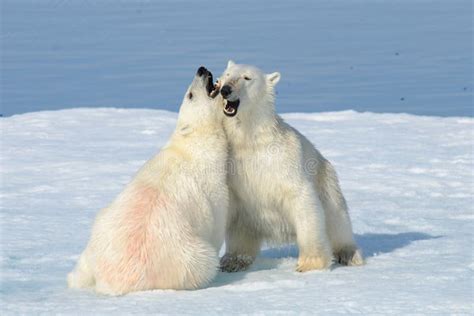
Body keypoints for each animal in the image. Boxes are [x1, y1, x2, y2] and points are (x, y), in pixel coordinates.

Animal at [67, 67, 229, 296]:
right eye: (190, 94)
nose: (201, 69)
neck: (193, 144)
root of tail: (114, 283)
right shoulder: (213, 190)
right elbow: (216, 225)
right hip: (187, 258)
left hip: (97, 234)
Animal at [218, 61, 362, 272]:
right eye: (226, 75)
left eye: (247, 78)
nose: (225, 89)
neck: (250, 138)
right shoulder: (232, 166)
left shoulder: (283, 161)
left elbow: (301, 198)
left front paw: (310, 262)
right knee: (241, 231)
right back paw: (233, 260)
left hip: (326, 180)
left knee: (337, 218)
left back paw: (349, 254)